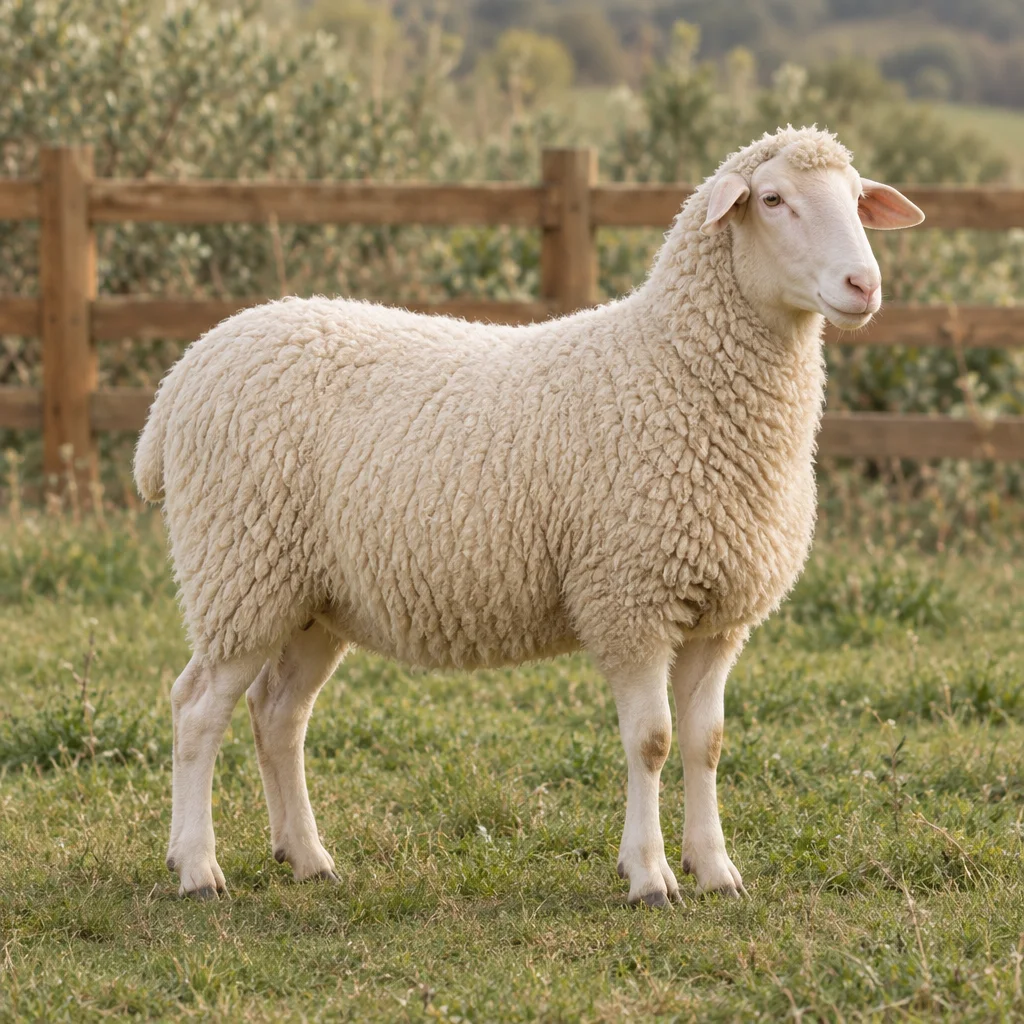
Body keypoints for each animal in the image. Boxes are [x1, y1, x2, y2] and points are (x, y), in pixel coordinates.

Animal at [135, 125, 924, 906]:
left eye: (857, 197)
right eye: (772, 199)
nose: (864, 285)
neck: (673, 369)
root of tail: (181, 377)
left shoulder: (717, 614)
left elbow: (707, 744)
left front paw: (716, 870)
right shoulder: (628, 598)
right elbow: (652, 742)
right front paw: (648, 876)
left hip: (310, 597)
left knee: (278, 714)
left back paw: (306, 858)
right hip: (240, 570)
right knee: (197, 709)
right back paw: (197, 868)